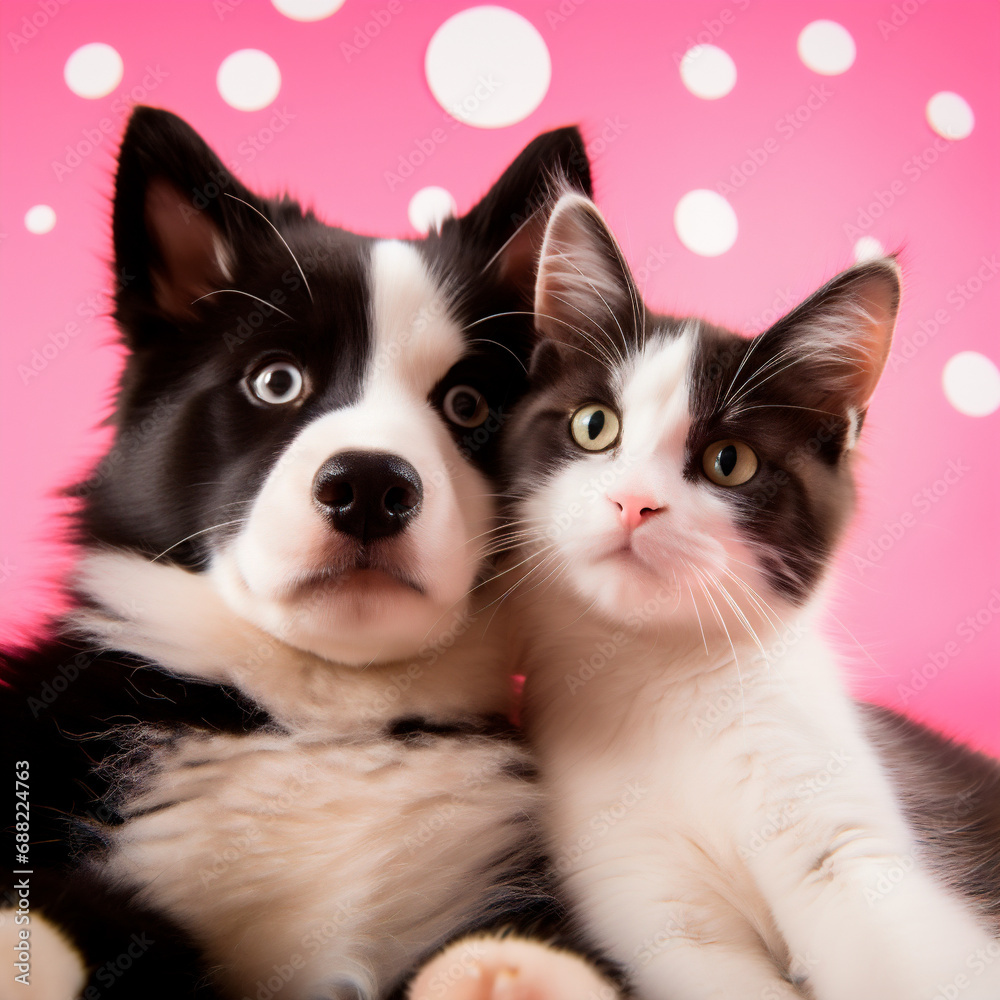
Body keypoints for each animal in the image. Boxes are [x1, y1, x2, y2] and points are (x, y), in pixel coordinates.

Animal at [496, 195, 1000, 1000]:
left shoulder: (853, 844)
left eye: (728, 462)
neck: (661, 679)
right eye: (593, 425)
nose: (634, 503)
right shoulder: (643, 894)